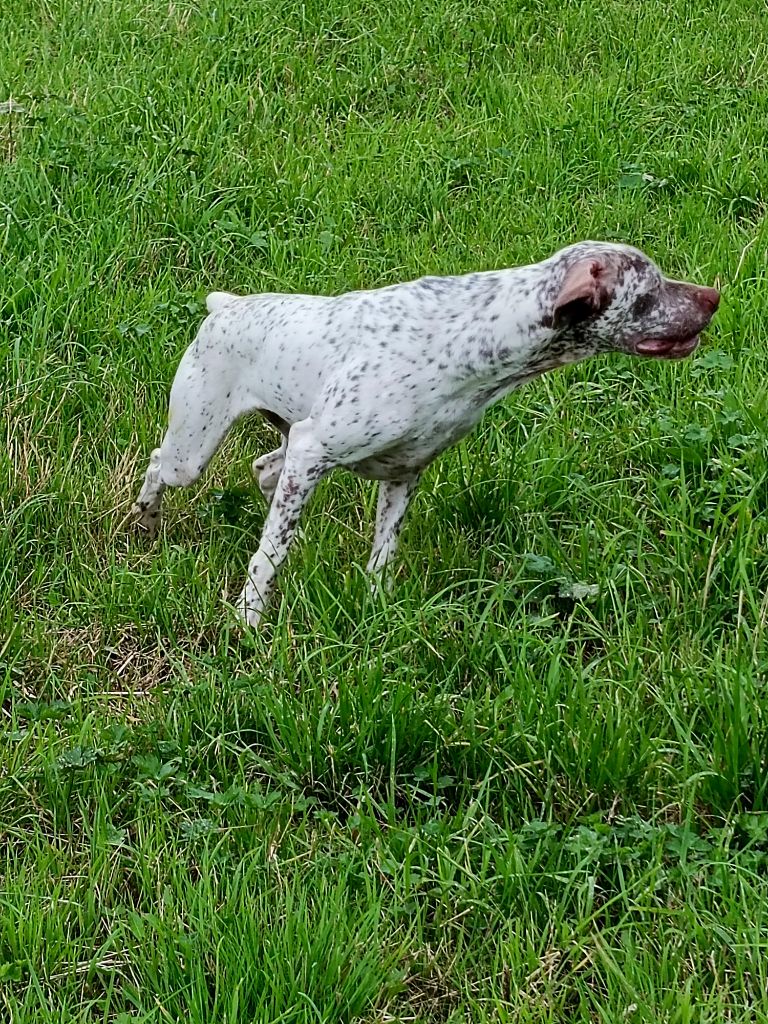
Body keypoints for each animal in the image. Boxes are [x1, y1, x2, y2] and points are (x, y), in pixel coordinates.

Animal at [131, 241, 720, 622]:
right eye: (649, 291)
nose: (714, 296)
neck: (474, 338)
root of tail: (225, 306)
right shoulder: (315, 449)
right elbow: (269, 556)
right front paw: (250, 618)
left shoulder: (402, 474)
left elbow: (381, 557)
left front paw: (376, 612)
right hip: (194, 450)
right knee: (161, 463)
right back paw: (146, 522)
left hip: (285, 447)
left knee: (263, 471)